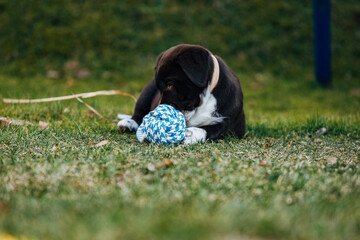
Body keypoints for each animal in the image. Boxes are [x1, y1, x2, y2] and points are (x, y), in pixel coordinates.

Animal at [117, 43, 245, 143]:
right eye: (160, 88)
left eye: (170, 84)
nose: (158, 110)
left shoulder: (227, 123)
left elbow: (211, 130)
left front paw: (191, 134)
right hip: (146, 92)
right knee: (139, 113)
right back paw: (128, 123)